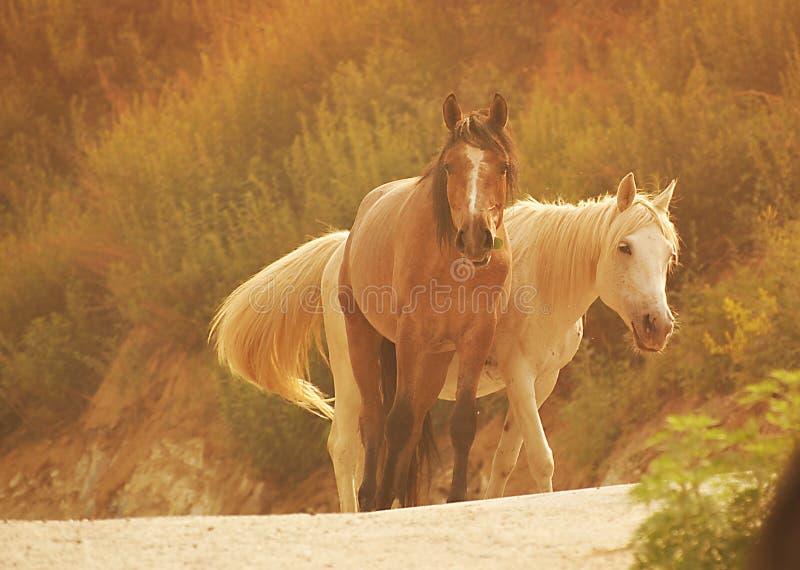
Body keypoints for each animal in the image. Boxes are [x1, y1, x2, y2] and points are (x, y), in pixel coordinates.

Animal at [209, 170, 680, 510]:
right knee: (344, 448)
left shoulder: (541, 382)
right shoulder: (520, 375)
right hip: (351, 375)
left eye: (668, 254)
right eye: (624, 247)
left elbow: (505, 461)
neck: (541, 279)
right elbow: (541, 457)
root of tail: (340, 251)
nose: (657, 325)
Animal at [340, 92, 520, 506]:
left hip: (437, 358)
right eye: (450, 167)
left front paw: (456, 498)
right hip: (363, 338)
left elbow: (462, 423)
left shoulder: (475, 337)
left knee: (415, 421)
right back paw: (371, 496)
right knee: (376, 420)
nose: (476, 237)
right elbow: (398, 420)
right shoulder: (411, 336)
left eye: (502, 166)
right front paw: (379, 501)